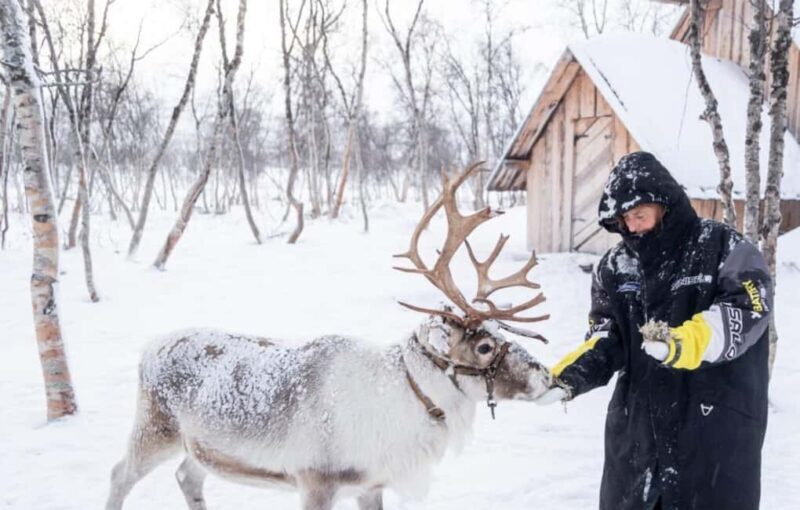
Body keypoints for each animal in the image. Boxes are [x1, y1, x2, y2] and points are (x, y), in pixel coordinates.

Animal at [105, 163, 558, 510]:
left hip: (198, 446)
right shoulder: (315, 481)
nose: (550, 378)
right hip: (155, 430)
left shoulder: (370, 484)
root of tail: (149, 348)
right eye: (484, 346)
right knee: (119, 473)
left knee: (188, 477)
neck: (403, 399)